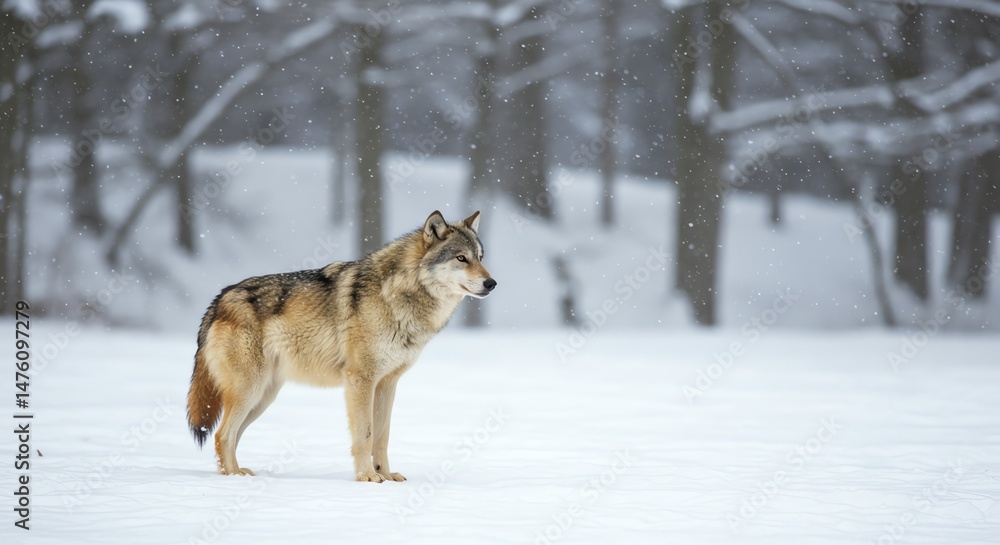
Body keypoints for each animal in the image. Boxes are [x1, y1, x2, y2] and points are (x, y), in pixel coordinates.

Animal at [186, 211, 495, 482]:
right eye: (461, 258)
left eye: (480, 258)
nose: (491, 283)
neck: (399, 294)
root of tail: (219, 299)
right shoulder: (361, 380)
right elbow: (365, 434)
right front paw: (367, 477)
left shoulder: (387, 384)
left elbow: (382, 436)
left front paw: (385, 475)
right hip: (250, 391)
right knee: (222, 434)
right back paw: (233, 478)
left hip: (263, 397)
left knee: (231, 436)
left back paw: (238, 473)